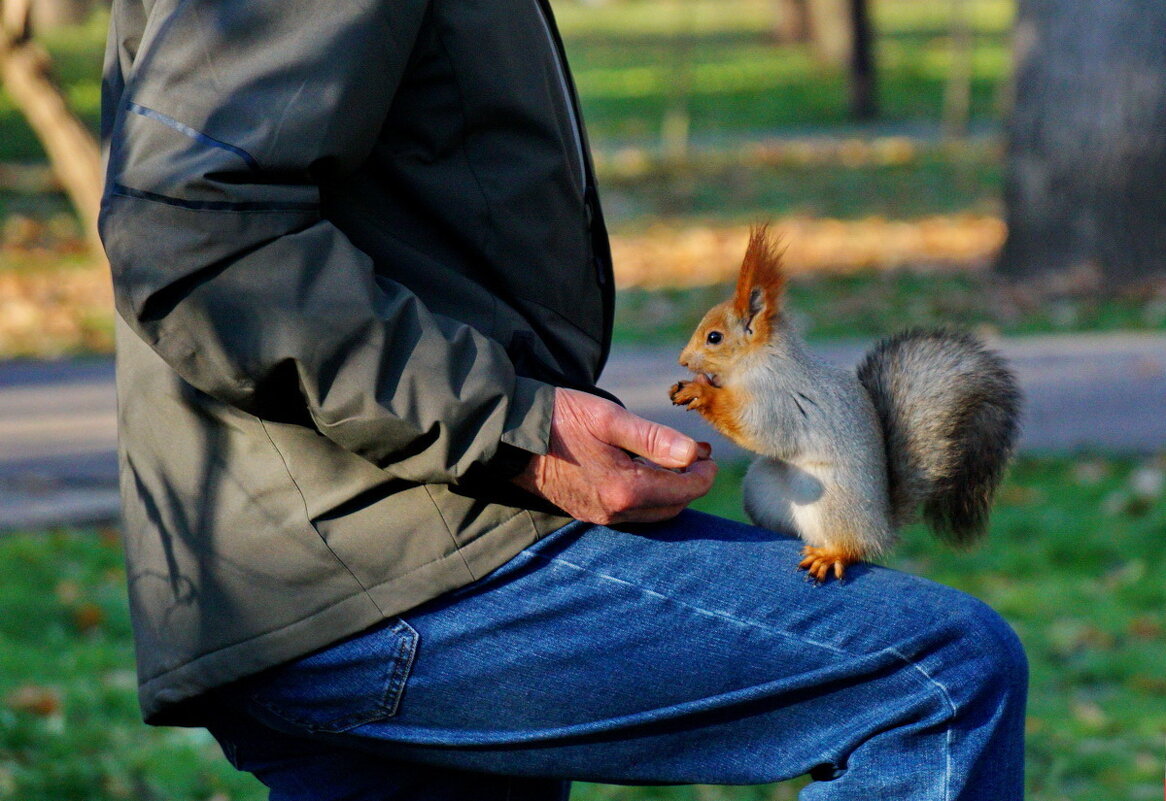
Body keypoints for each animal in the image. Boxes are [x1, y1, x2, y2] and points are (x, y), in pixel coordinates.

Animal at [676, 226, 1021, 582]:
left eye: (714, 338)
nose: (683, 360)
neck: (759, 362)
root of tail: (883, 529)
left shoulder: (778, 399)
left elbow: (759, 429)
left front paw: (702, 392)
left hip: (833, 503)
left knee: (855, 546)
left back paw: (833, 555)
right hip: (763, 488)